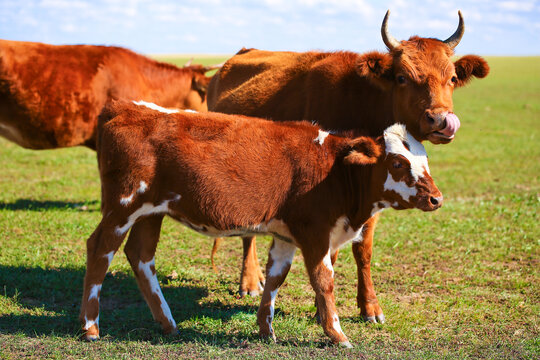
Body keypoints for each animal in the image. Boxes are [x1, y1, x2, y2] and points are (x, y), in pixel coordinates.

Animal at [80, 100, 442, 348]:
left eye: (425, 160)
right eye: (398, 162)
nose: (436, 198)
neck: (335, 169)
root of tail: (124, 107)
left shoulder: (286, 236)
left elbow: (275, 278)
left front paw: (266, 330)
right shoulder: (315, 234)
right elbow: (324, 281)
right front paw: (337, 335)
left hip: (151, 212)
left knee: (141, 256)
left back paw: (168, 323)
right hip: (123, 206)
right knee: (100, 249)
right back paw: (90, 326)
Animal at [206, 9, 490, 322]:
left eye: (451, 78)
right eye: (402, 77)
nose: (441, 120)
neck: (363, 103)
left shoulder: (373, 191)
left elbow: (363, 250)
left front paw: (370, 306)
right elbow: (328, 253)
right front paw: (323, 309)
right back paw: (248, 280)